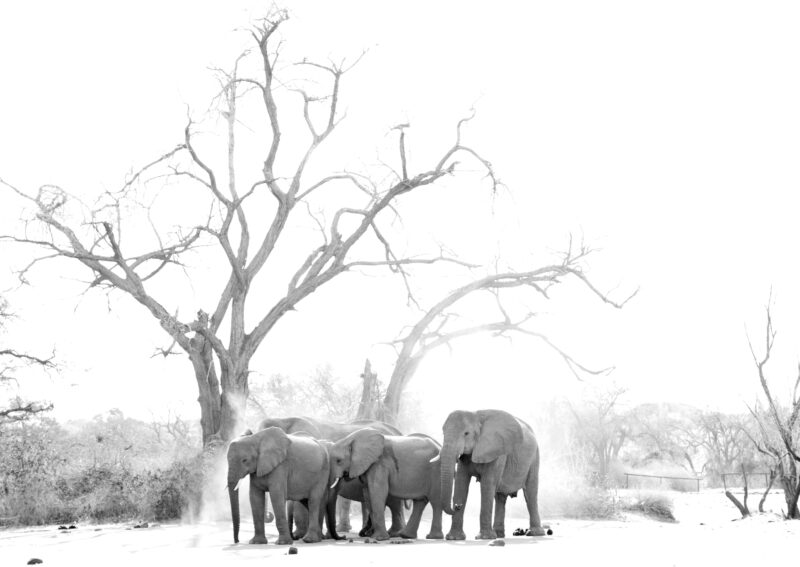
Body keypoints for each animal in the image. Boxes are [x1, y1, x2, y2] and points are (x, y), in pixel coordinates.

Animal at [438, 409, 546, 540]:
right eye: (443, 433)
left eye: (466, 433)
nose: (457, 506)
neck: (477, 416)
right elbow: (461, 484)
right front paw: (454, 538)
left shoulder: (497, 451)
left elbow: (487, 485)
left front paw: (484, 537)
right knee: (500, 497)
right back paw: (499, 535)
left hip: (534, 458)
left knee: (530, 493)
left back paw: (535, 533)